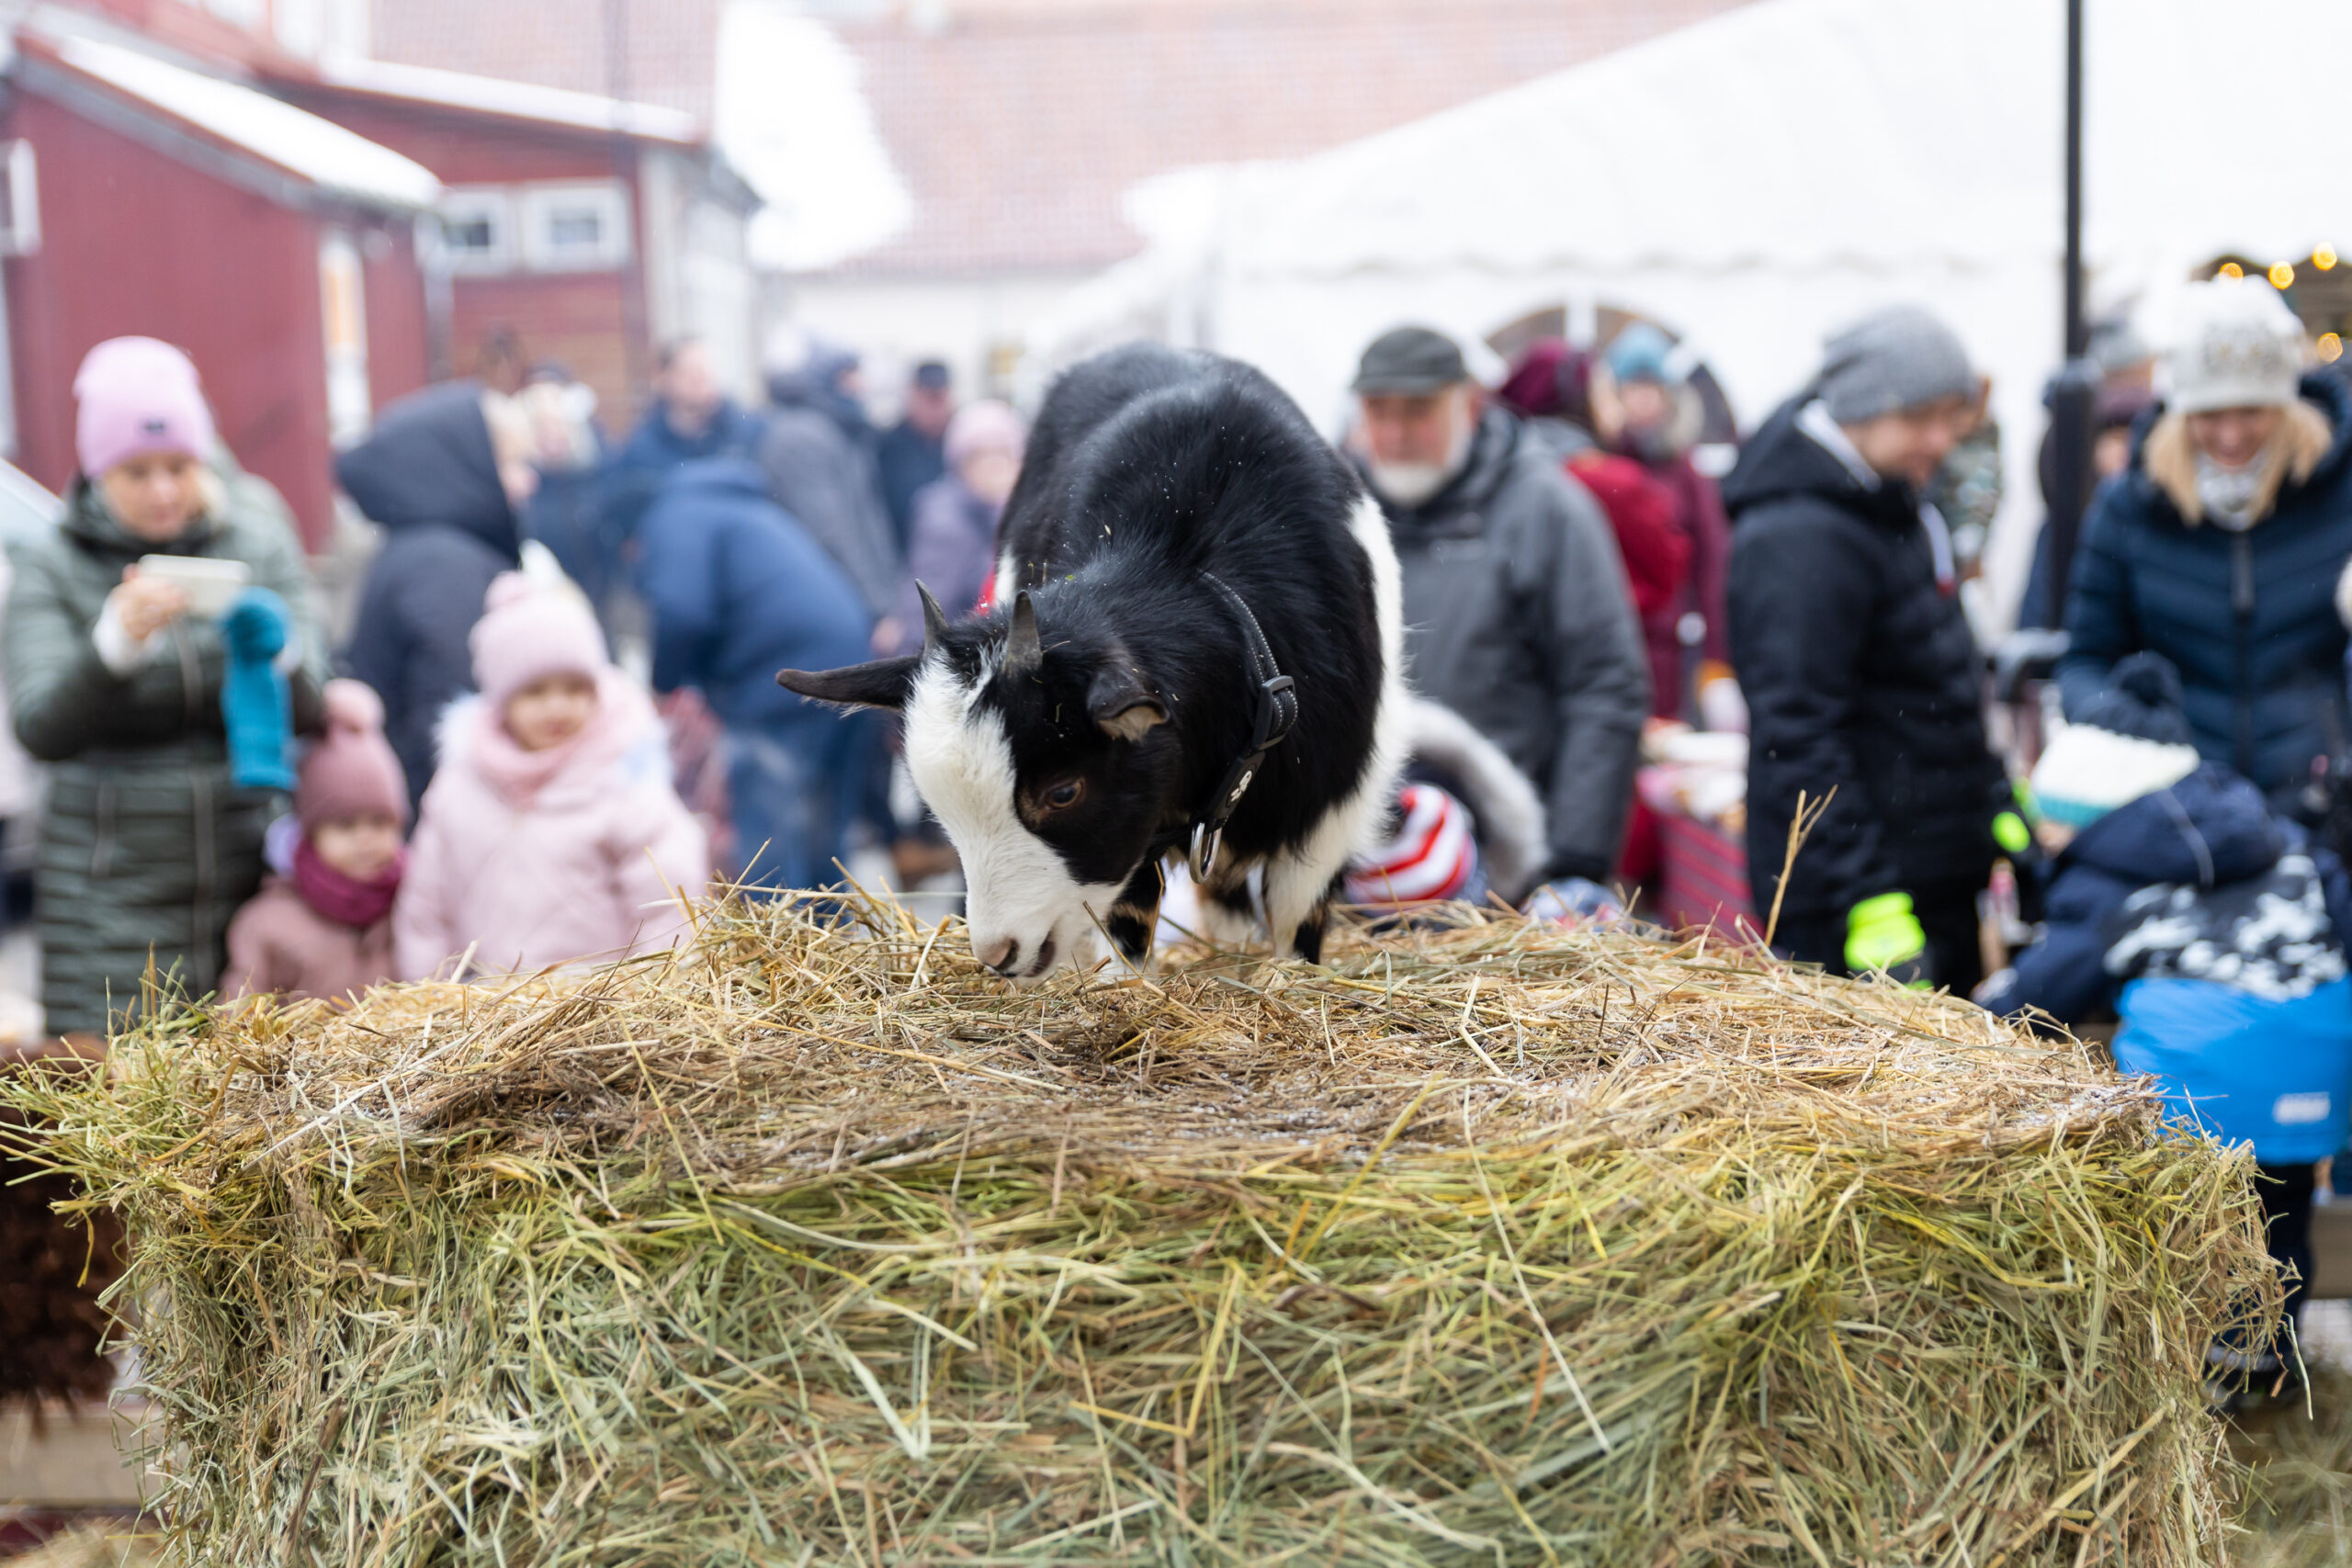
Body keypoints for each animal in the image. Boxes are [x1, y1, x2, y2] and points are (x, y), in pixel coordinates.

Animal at [771, 343, 1401, 982]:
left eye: (1063, 792)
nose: (998, 953)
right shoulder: (1145, 824)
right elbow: (1129, 913)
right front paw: (1122, 987)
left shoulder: (1331, 806)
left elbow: (1299, 914)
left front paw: (1290, 977)